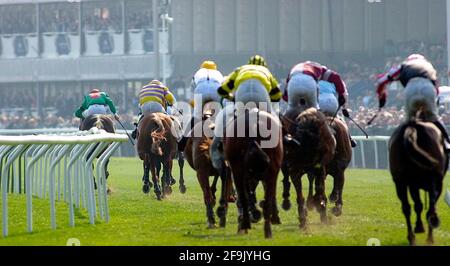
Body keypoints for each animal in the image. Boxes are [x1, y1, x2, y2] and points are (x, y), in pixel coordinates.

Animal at [388, 110, 448, 245]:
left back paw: (412, 237)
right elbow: (430, 205)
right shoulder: (436, 182)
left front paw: (419, 226)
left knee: (406, 207)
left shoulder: (413, 184)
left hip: (400, 181)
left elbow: (418, 205)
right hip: (434, 179)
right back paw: (429, 236)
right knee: (430, 207)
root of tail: (413, 126)